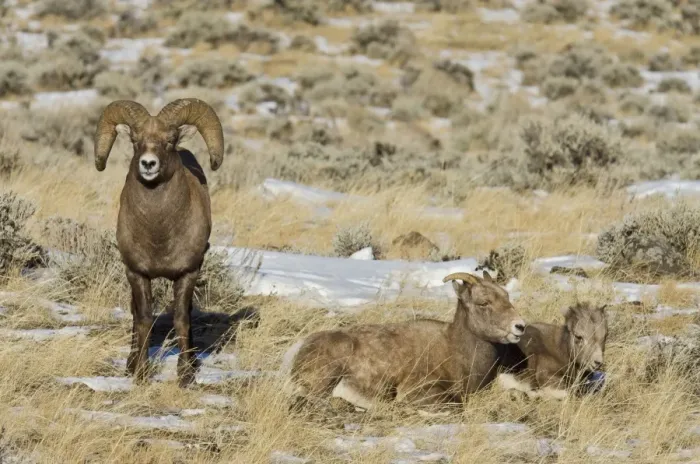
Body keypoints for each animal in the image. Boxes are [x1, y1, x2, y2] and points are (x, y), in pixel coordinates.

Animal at [93, 98, 224, 387]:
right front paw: (140, 374)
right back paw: (130, 364)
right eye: (135, 140)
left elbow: (182, 319)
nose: (148, 164)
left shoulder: (188, 273)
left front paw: (185, 376)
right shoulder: (137, 273)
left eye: (170, 140)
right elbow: (143, 319)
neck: (159, 234)